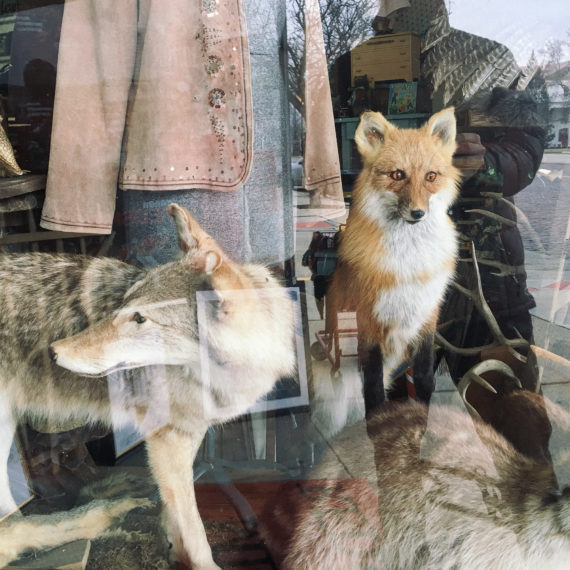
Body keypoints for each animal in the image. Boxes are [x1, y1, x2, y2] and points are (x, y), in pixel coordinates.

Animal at [0, 205, 296, 568]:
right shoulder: (167, 439)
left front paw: (172, 549)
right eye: (122, 305)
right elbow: (194, 528)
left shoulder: (183, 434)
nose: (53, 351)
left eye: (140, 318)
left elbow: (175, 511)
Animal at [322, 107, 460, 412]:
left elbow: (424, 379)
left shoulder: (427, 316)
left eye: (431, 176)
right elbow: (373, 389)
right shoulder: (368, 320)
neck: (408, 265)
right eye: (397, 175)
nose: (418, 213)